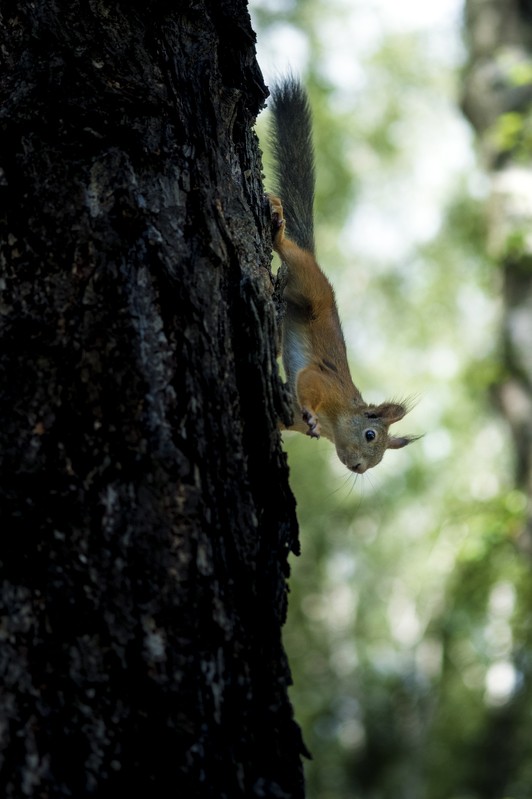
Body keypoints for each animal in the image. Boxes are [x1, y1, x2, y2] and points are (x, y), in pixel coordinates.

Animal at [268, 76, 418, 476]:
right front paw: (312, 415)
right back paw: (277, 228)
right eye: (370, 434)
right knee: (290, 253)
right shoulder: (324, 382)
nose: (358, 468)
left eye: (378, 460)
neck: (337, 418)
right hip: (309, 281)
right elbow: (307, 384)